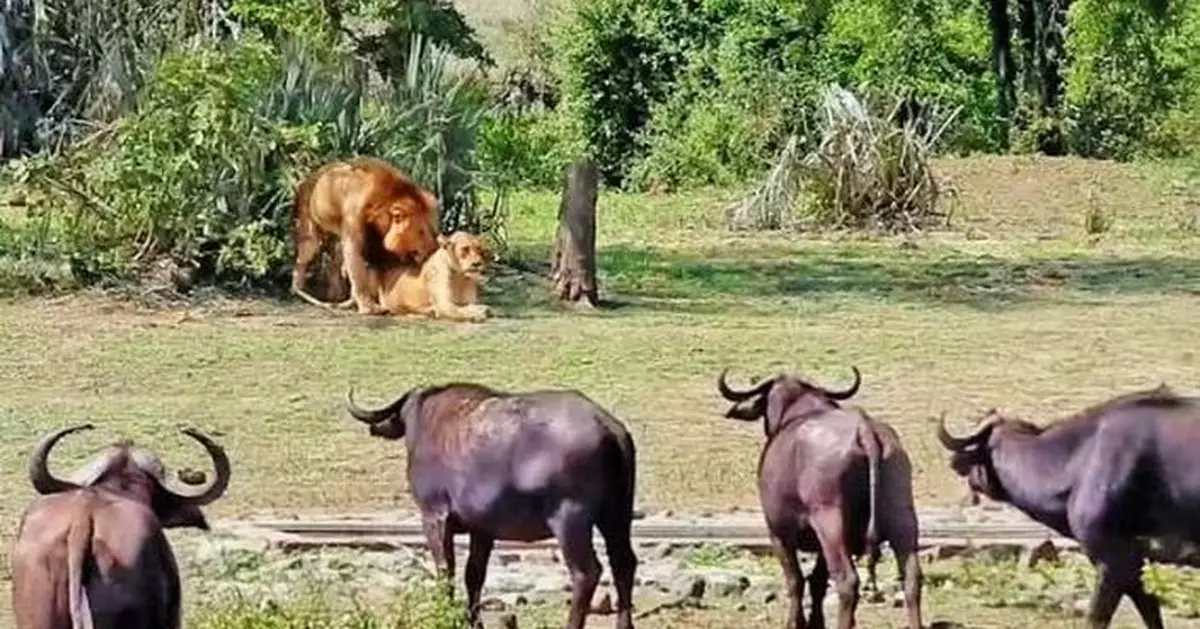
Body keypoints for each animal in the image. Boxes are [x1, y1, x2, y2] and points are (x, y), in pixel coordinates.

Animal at [290, 157, 441, 314]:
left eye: (433, 230)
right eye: (421, 232)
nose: (433, 249)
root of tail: (307, 179)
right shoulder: (353, 227)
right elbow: (358, 273)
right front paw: (368, 307)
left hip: (337, 238)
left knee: (334, 262)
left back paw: (335, 293)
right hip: (309, 233)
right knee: (302, 259)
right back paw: (298, 291)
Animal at [715, 364, 921, 629]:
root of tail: (865, 430)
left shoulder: (779, 533)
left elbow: (796, 580)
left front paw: (794, 622)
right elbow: (817, 582)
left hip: (830, 524)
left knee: (847, 580)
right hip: (902, 519)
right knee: (912, 577)